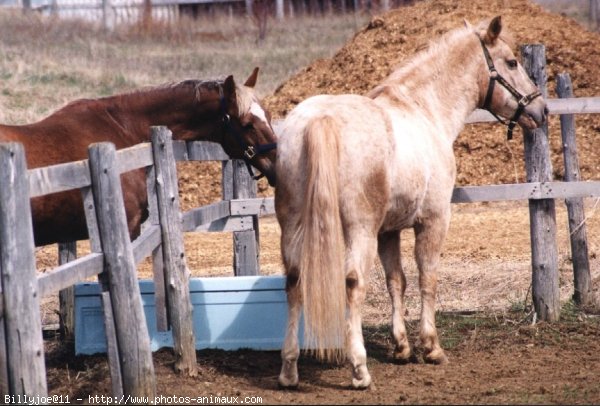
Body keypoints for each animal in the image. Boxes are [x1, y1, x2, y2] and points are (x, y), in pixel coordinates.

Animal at [276, 17, 548, 388]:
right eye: (511, 62)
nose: (541, 109)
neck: (424, 110)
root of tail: (321, 120)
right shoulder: (433, 221)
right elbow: (427, 278)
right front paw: (431, 347)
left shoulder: (387, 232)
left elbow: (396, 281)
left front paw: (402, 347)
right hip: (358, 229)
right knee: (353, 283)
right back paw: (359, 369)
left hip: (293, 224)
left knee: (294, 281)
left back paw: (289, 369)